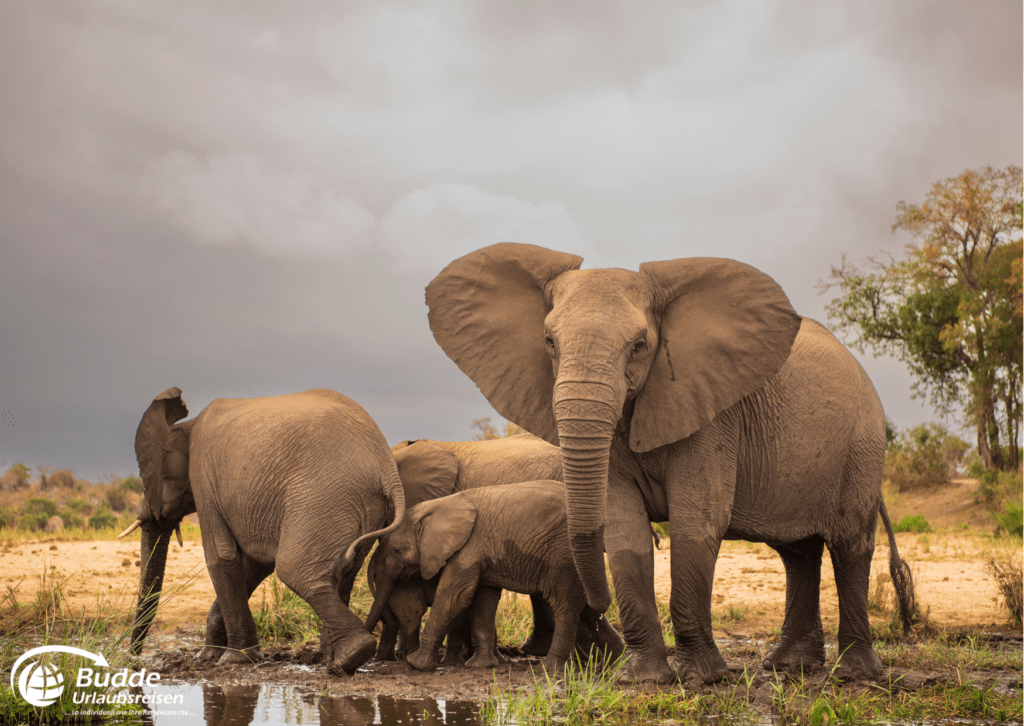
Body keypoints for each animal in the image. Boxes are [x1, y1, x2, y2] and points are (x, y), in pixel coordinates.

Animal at [364, 479, 610, 671]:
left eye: (397, 550)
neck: (438, 506)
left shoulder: (468, 547)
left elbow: (454, 597)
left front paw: (416, 664)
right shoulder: (480, 552)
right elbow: (483, 599)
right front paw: (481, 666)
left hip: (562, 554)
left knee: (563, 604)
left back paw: (550, 669)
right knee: (584, 606)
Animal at [419, 240, 917, 684]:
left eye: (640, 346)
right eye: (548, 342)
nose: (596, 614)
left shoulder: (713, 415)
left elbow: (697, 523)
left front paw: (701, 679)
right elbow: (624, 529)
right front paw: (642, 679)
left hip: (862, 444)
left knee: (849, 545)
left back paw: (854, 675)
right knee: (799, 552)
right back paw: (788, 667)